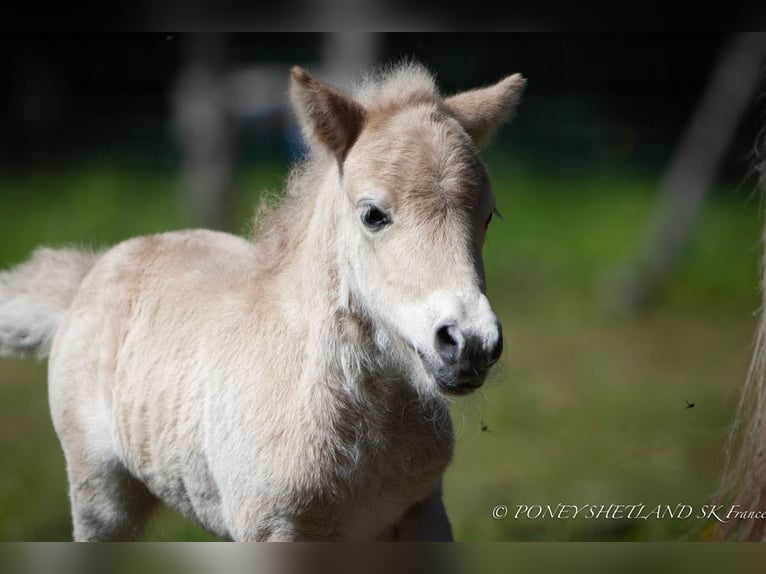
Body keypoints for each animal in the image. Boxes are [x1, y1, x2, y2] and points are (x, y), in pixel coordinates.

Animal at [0, 65, 528, 544]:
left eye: (488, 216)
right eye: (373, 215)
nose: (470, 343)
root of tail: (93, 270)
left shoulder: (422, 513)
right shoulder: (273, 530)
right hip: (100, 498)